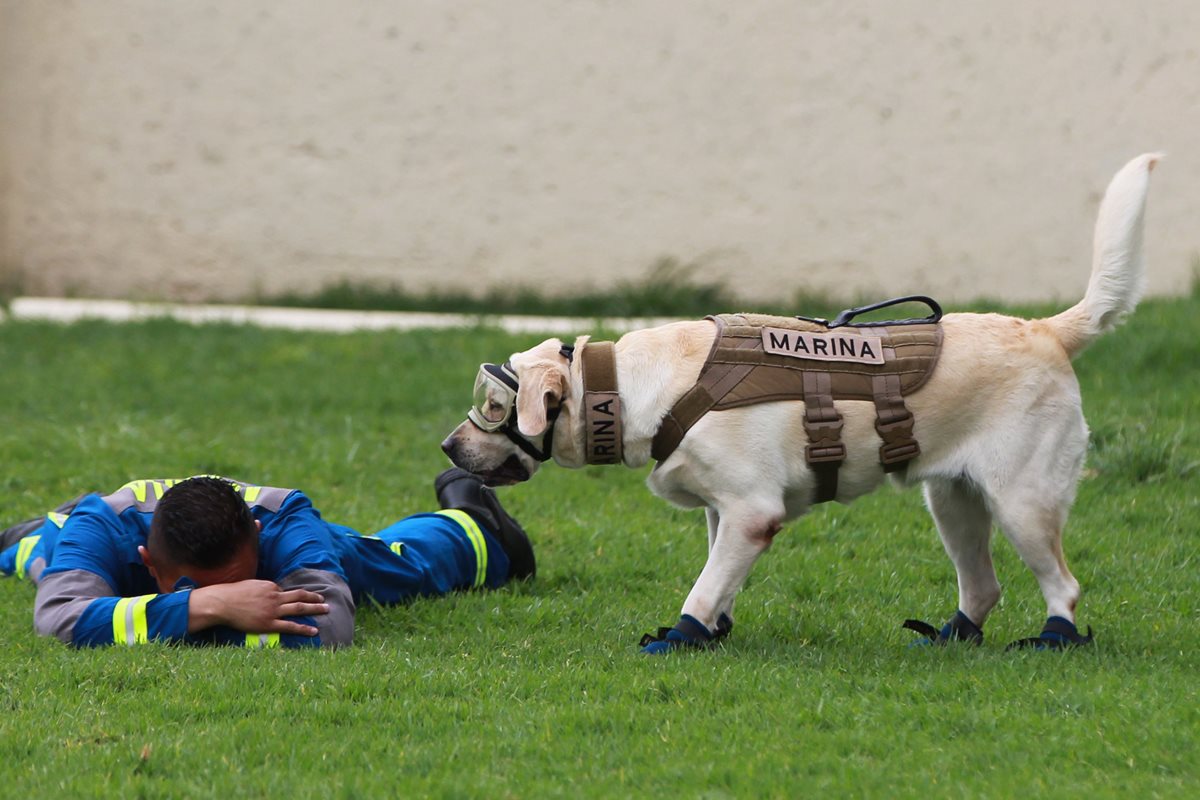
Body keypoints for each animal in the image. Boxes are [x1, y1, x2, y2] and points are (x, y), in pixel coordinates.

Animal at [444, 153, 1161, 652]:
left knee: (1063, 586)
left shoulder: (752, 513)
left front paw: (681, 638)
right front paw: (713, 634)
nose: (449, 447)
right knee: (983, 587)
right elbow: (719, 579)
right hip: (954, 501)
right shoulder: (723, 513)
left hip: (1022, 502)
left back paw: (1053, 641)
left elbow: (703, 587)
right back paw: (952, 638)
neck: (630, 386)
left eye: (494, 406)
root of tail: (1045, 330)